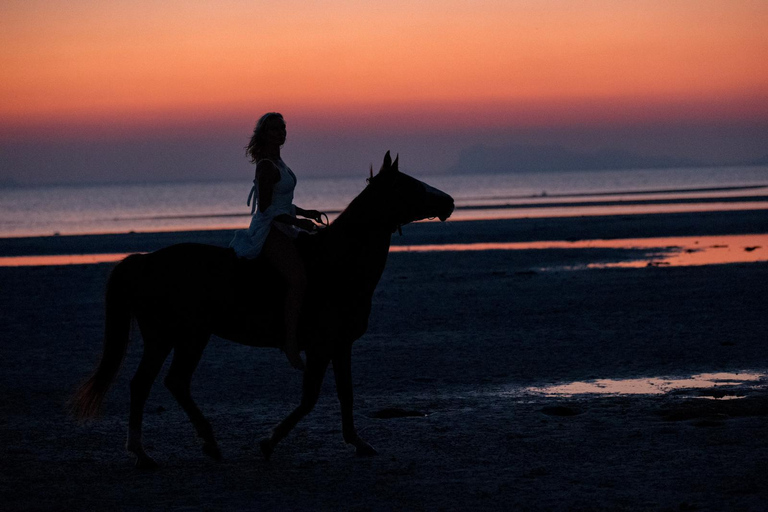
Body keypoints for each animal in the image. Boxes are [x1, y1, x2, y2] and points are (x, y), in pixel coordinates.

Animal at [70, 150, 456, 466]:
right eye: (408, 185)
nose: (449, 202)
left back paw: (173, 448)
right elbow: (310, 398)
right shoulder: (320, 348)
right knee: (162, 383)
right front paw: (269, 442)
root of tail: (147, 261)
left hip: (172, 338)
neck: (338, 264)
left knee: (154, 383)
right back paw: (165, 450)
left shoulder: (340, 346)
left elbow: (346, 394)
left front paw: (358, 442)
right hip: (182, 337)